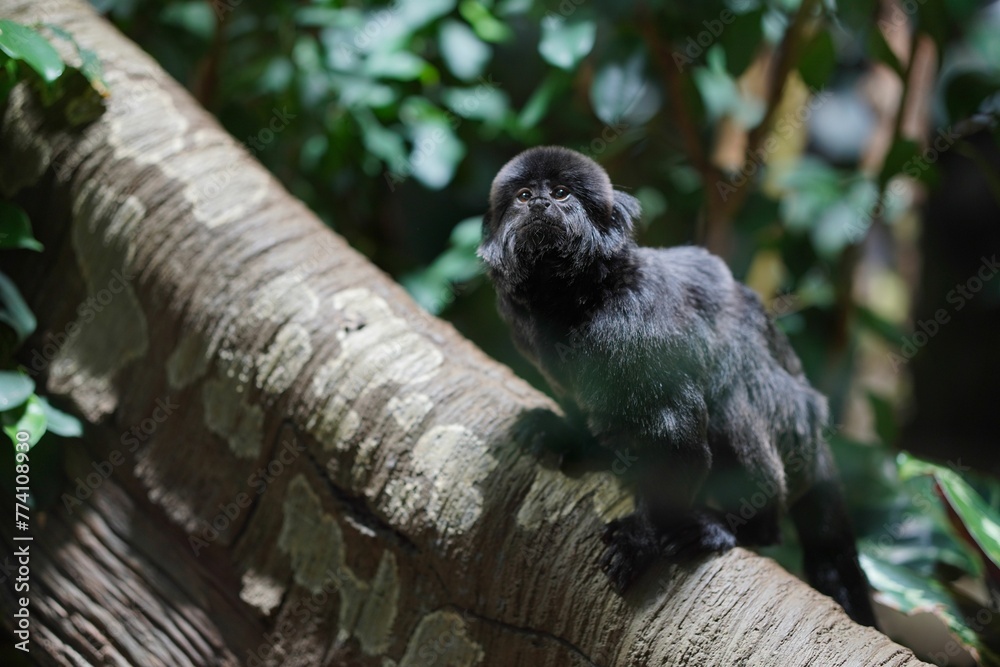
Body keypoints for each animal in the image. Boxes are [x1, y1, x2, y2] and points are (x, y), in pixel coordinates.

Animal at [478, 145, 877, 627]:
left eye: (560, 193)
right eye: (523, 195)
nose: (539, 203)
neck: (574, 301)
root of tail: (816, 422)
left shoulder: (634, 327)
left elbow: (675, 432)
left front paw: (643, 538)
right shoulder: (528, 334)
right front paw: (567, 435)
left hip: (790, 422)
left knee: (731, 401)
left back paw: (734, 525)